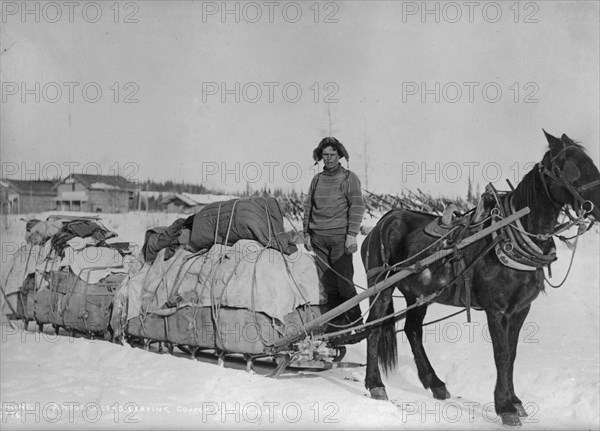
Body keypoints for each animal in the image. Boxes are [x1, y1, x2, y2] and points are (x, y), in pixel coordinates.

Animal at [360, 130, 600, 426]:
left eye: (591, 162)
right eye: (565, 168)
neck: (510, 233)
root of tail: (382, 221)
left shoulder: (520, 309)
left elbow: (512, 353)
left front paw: (515, 401)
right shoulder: (496, 309)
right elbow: (501, 354)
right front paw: (505, 407)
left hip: (418, 293)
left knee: (412, 329)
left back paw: (436, 384)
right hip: (380, 288)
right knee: (373, 328)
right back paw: (375, 384)